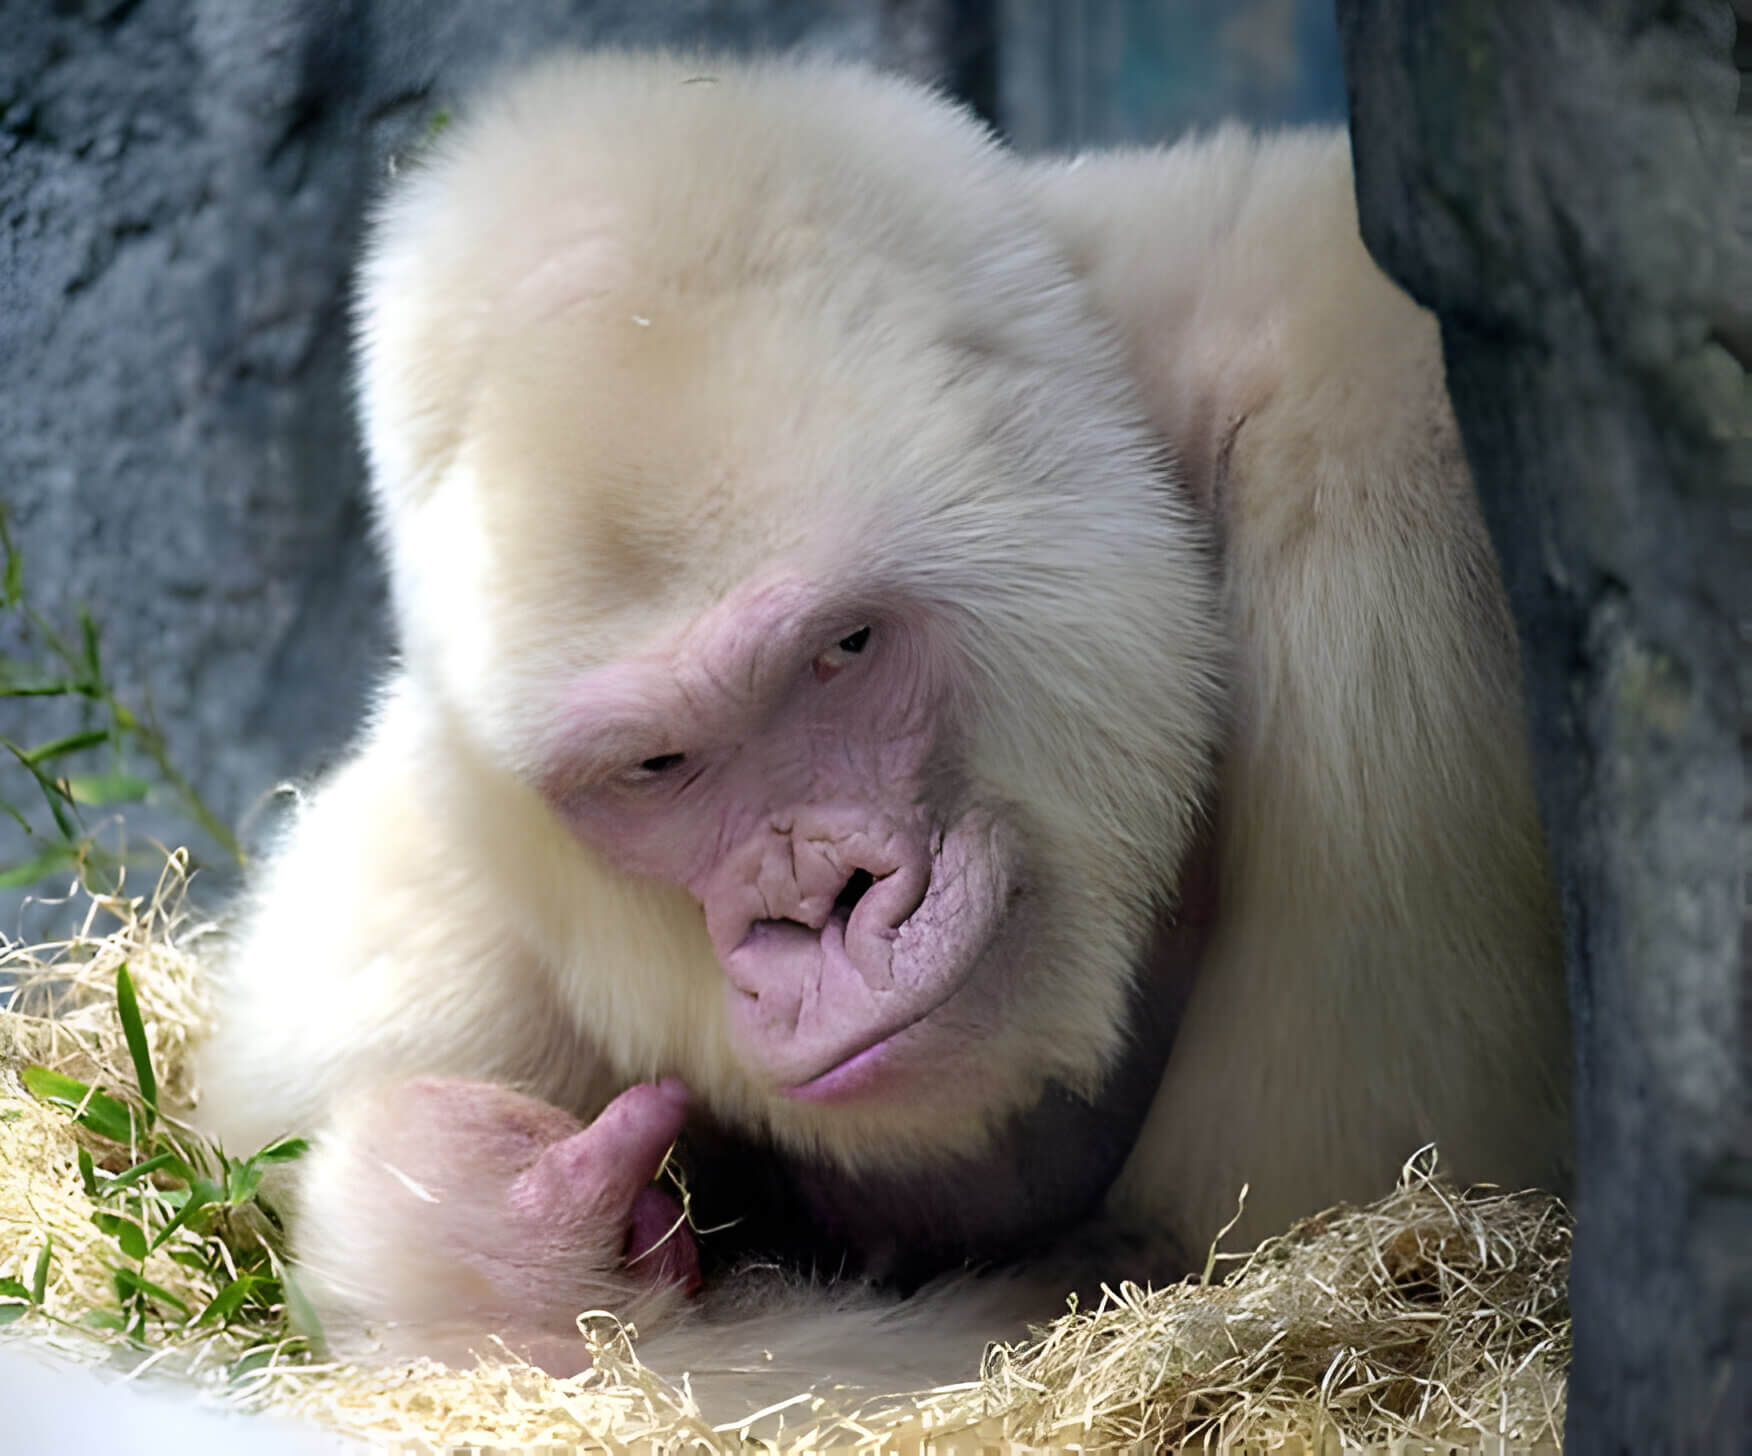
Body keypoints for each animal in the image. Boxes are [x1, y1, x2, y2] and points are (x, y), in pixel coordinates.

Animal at [191, 51, 1570, 1401]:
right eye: (657, 763)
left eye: (843, 649)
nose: (818, 902)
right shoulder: (399, 965)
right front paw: (503, 1245)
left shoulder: (1365, 489)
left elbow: (1272, 1273)